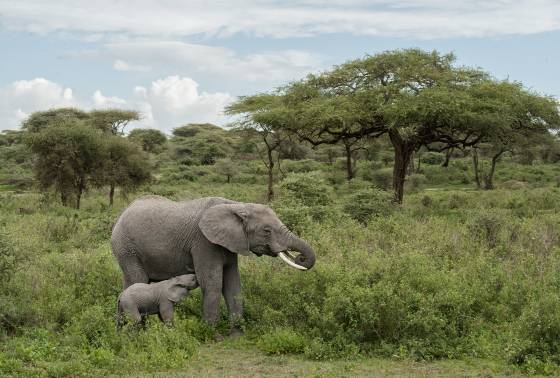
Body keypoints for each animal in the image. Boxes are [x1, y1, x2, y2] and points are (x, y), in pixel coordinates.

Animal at [111, 195, 318, 334]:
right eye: (266, 231)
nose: (300, 258)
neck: (237, 205)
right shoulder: (204, 242)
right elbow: (212, 283)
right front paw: (212, 334)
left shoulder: (230, 242)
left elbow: (233, 284)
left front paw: (237, 335)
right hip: (127, 248)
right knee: (137, 279)